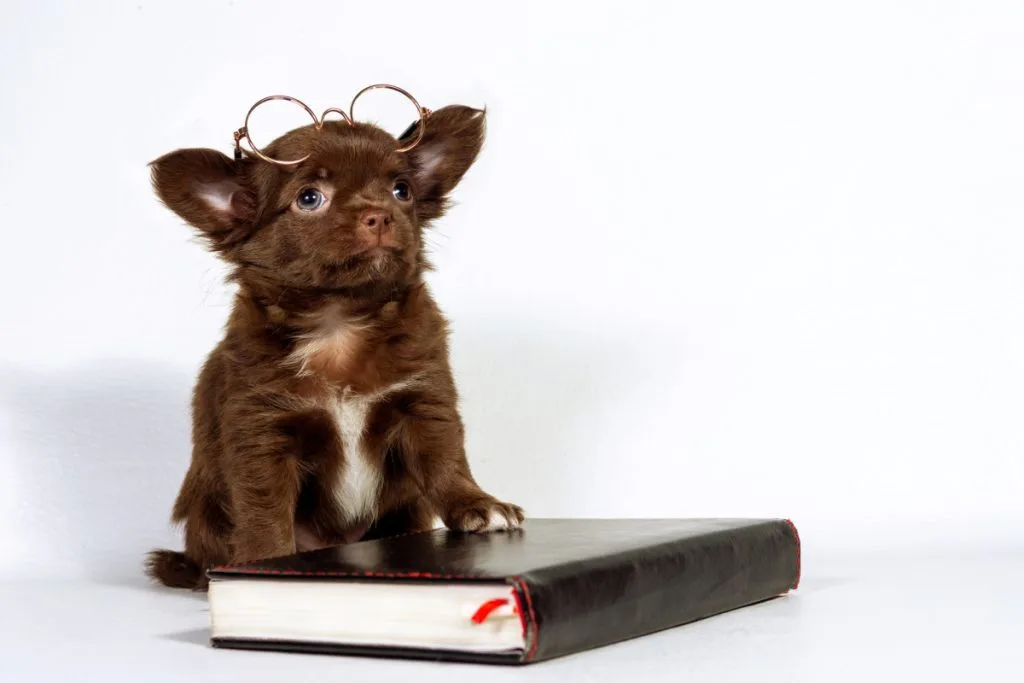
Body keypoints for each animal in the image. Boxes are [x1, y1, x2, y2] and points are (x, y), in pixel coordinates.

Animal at [144, 98, 524, 589]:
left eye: (401, 190)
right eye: (309, 198)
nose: (380, 214)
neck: (338, 322)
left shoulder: (424, 400)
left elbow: (445, 459)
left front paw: (477, 504)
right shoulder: (261, 431)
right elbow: (264, 509)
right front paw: (265, 561)